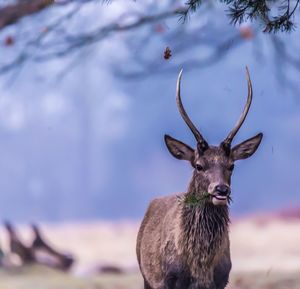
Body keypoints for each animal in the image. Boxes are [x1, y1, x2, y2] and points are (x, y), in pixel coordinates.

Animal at [136, 68, 262, 288]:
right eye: (198, 165)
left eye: (231, 165)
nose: (221, 189)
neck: (200, 265)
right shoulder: (169, 279)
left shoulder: (221, 279)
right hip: (146, 276)